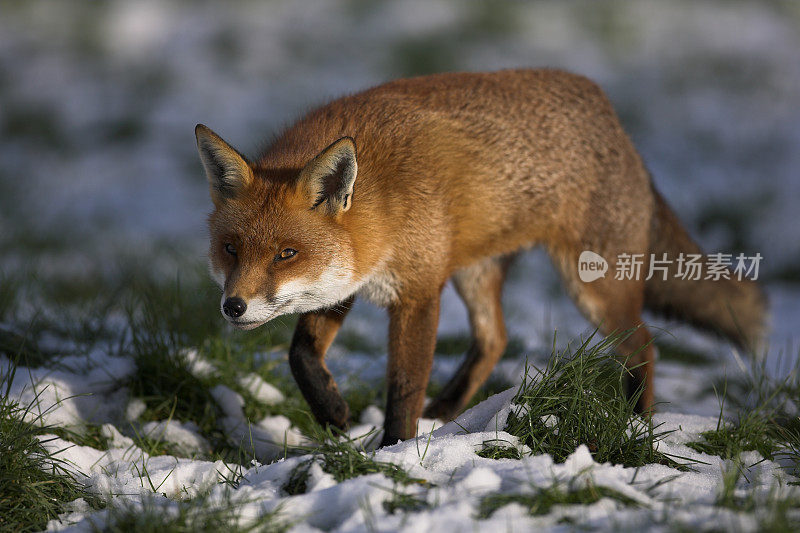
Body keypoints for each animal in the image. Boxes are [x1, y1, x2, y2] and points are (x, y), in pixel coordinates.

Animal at [197, 69, 764, 444]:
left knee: (643, 345)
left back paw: (636, 425)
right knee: (496, 338)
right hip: (476, 273)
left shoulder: (418, 292)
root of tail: (612, 117)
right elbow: (301, 356)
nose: (233, 307)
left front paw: (393, 451)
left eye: (286, 253)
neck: (379, 205)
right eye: (231, 249)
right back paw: (447, 413)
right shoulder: (345, 281)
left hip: (593, 286)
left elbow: (403, 387)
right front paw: (333, 412)